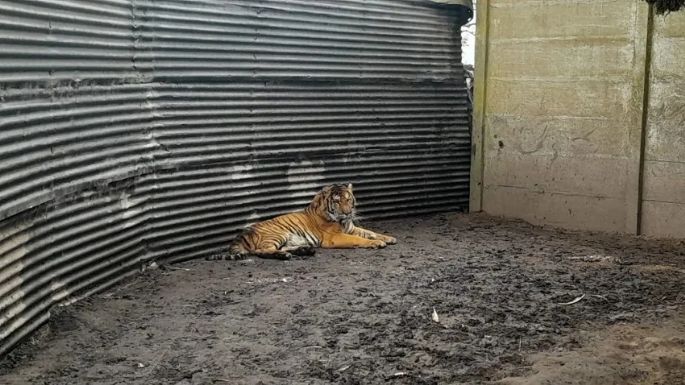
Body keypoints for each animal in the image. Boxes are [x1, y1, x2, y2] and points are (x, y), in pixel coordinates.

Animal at [206, 183, 396, 260]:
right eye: (337, 201)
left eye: (349, 199)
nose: (348, 212)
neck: (342, 221)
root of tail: (241, 234)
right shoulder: (335, 237)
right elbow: (359, 239)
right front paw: (376, 243)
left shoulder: (351, 228)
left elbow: (370, 232)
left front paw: (388, 238)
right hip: (278, 233)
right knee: (261, 250)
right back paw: (285, 256)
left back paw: (305, 250)